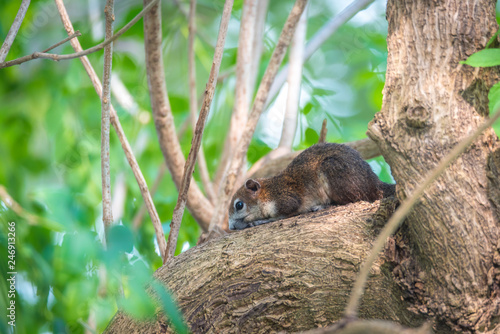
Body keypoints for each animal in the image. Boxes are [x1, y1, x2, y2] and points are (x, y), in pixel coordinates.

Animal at [229, 142, 396, 231]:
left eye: (239, 205)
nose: (230, 227)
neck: (268, 192)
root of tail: (374, 182)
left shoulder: (286, 198)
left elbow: (283, 215)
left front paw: (260, 221)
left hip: (333, 169)